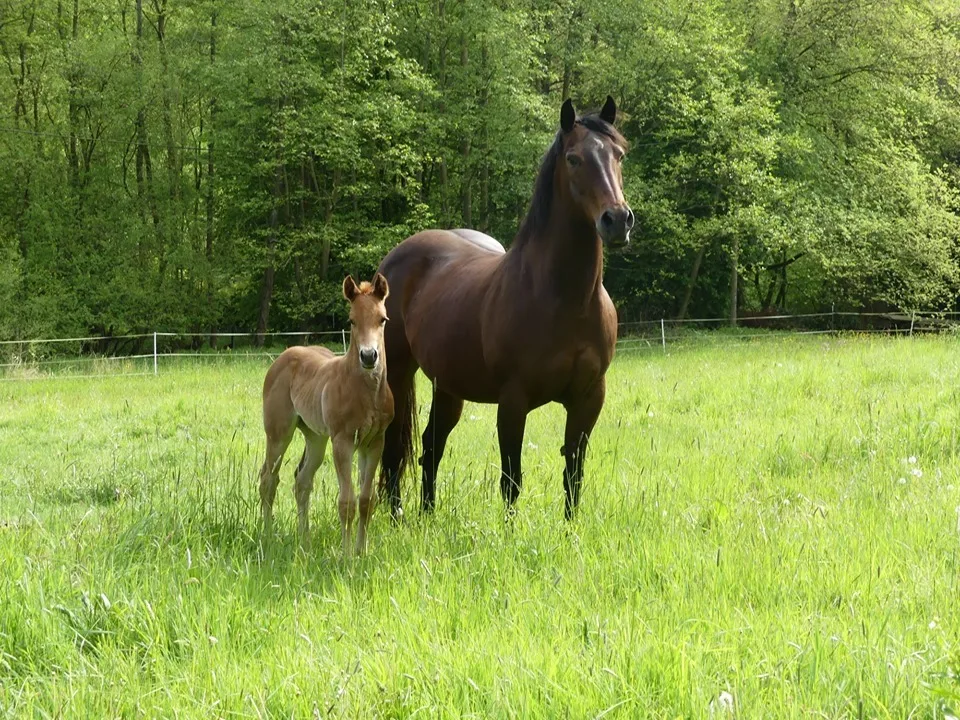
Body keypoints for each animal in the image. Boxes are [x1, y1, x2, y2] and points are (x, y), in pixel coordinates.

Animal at [259, 274, 394, 557]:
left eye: (383, 319)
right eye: (352, 320)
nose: (369, 356)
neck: (366, 393)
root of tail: (284, 355)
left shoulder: (374, 442)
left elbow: (366, 501)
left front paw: (361, 552)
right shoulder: (342, 441)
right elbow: (347, 502)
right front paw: (346, 557)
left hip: (316, 437)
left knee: (302, 481)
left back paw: (305, 540)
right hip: (278, 434)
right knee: (268, 478)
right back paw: (267, 534)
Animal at [376, 96, 633, 520]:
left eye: (619, 155)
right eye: (574, 159)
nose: (617, 221)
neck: (566, 299)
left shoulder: (589, 398)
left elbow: (573, 475)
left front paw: (570, 530)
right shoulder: (514, 401)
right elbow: (511, 480)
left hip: (449, 386)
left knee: (431, 447)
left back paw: (427, 516)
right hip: (397, 373)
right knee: (395, 446)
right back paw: (397, 516)